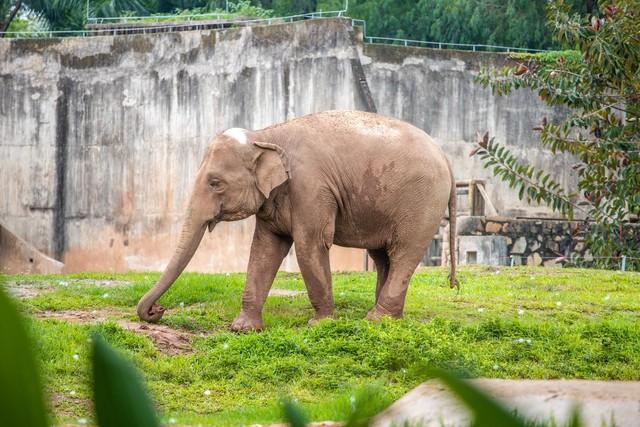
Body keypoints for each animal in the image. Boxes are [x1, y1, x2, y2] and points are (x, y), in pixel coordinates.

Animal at [136, 109, 456, 332]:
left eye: (215, 183)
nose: (157, 311)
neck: (265, 135)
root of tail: (446, 158)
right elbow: (264, 249)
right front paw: (243, 329)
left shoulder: (310, 187)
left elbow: (308, 245)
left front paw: (320, 325)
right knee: (382, 257)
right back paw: (388, 319)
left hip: (422, 204)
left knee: (403, 254)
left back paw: (375, 320)